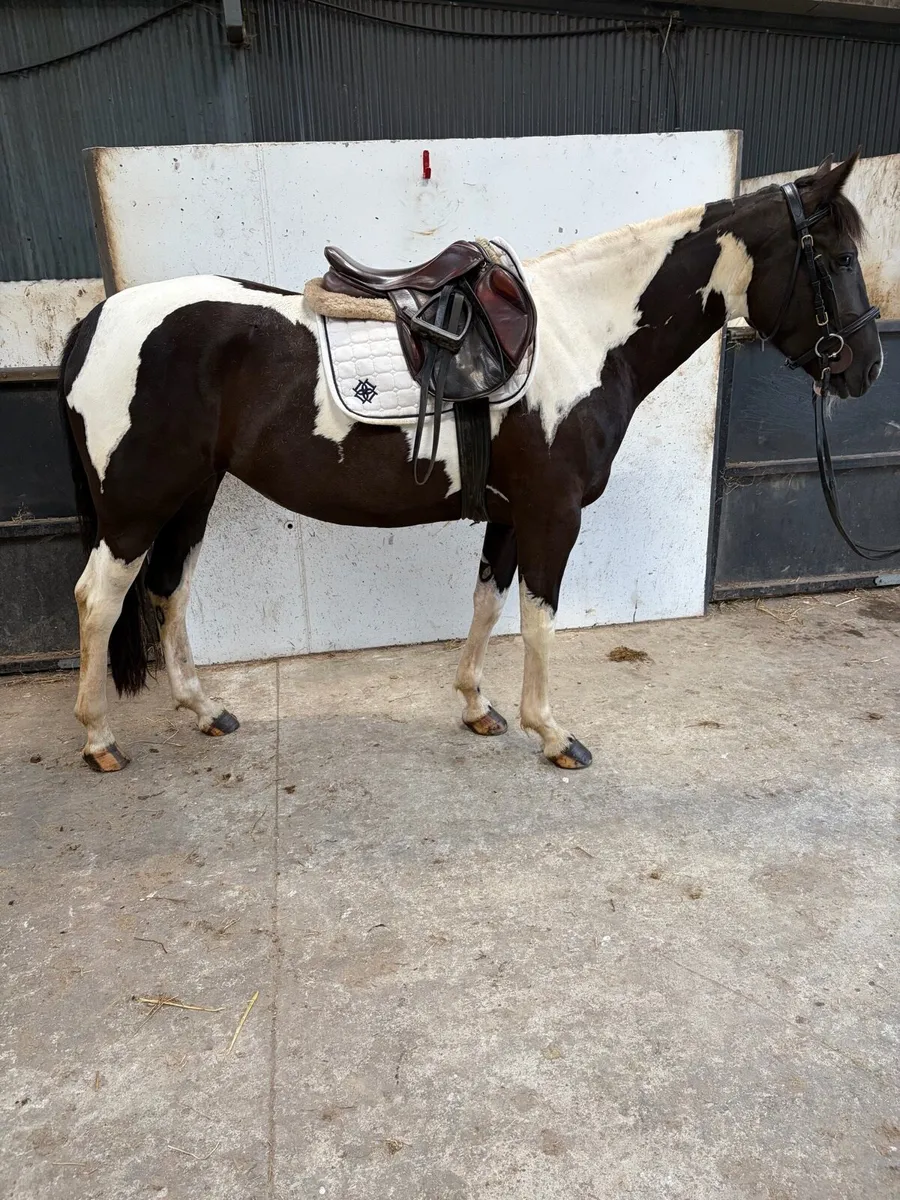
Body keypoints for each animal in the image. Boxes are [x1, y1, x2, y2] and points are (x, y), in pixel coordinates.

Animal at [58, 152, 882, 773]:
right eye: (839, 257)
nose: (865, 370)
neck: (582, 335)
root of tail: (96, 321)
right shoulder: (552, 513)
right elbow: (540, 619)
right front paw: (553, 734)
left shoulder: (511, 514)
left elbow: (488, 601)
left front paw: (478, 708)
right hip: (136, 506)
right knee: (99, 599)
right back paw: (100, 740)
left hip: (190, 496)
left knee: (169, 589)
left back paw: (205, 710)